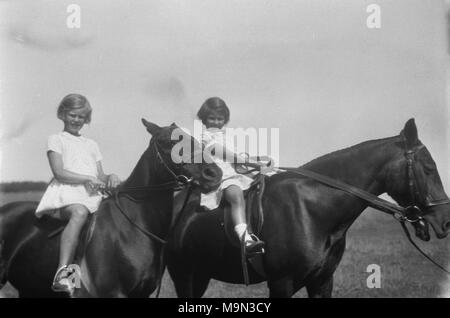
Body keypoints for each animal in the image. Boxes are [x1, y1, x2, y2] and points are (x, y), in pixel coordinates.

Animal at [165, 118, 450, 296]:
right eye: (428, 168)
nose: (445, 221)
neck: (312, 210)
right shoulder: (281, 283)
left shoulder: (322, 282)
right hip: (184, 276)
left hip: (201, 275)